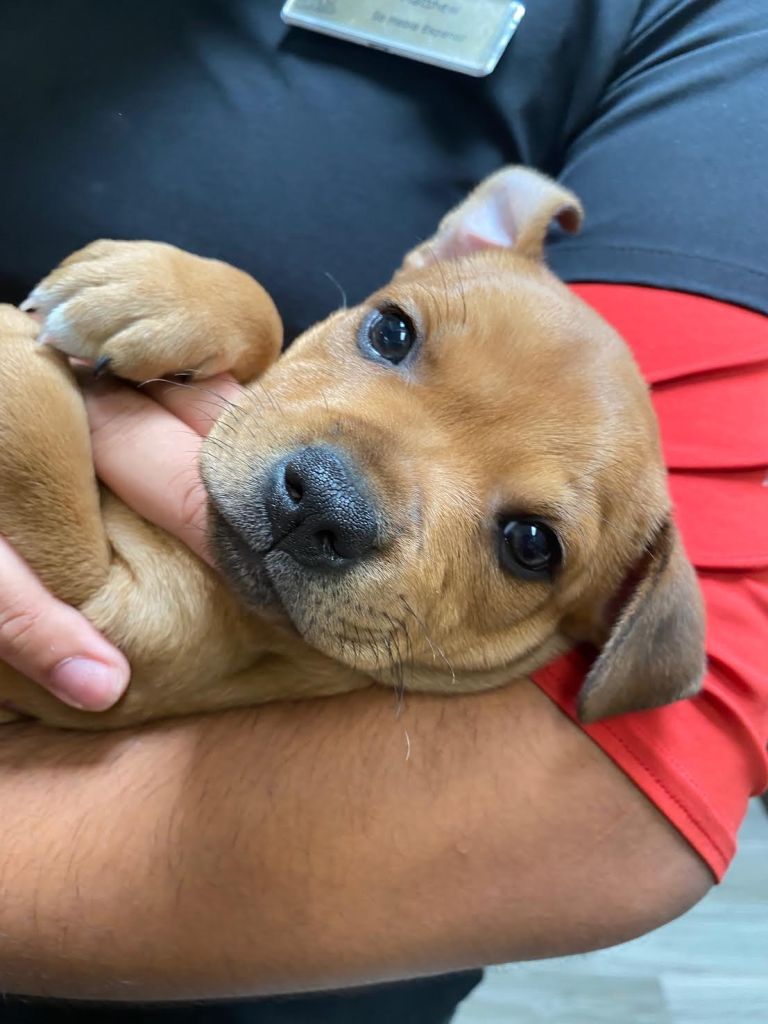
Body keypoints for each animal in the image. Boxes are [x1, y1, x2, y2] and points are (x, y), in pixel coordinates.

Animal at [0, 165, 704, 729]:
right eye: (391, 331)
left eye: (531, 545)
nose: (318, 504)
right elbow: (268, 316)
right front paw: (157, 292)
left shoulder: (116, 637)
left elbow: (42, 471)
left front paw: (11, 339)